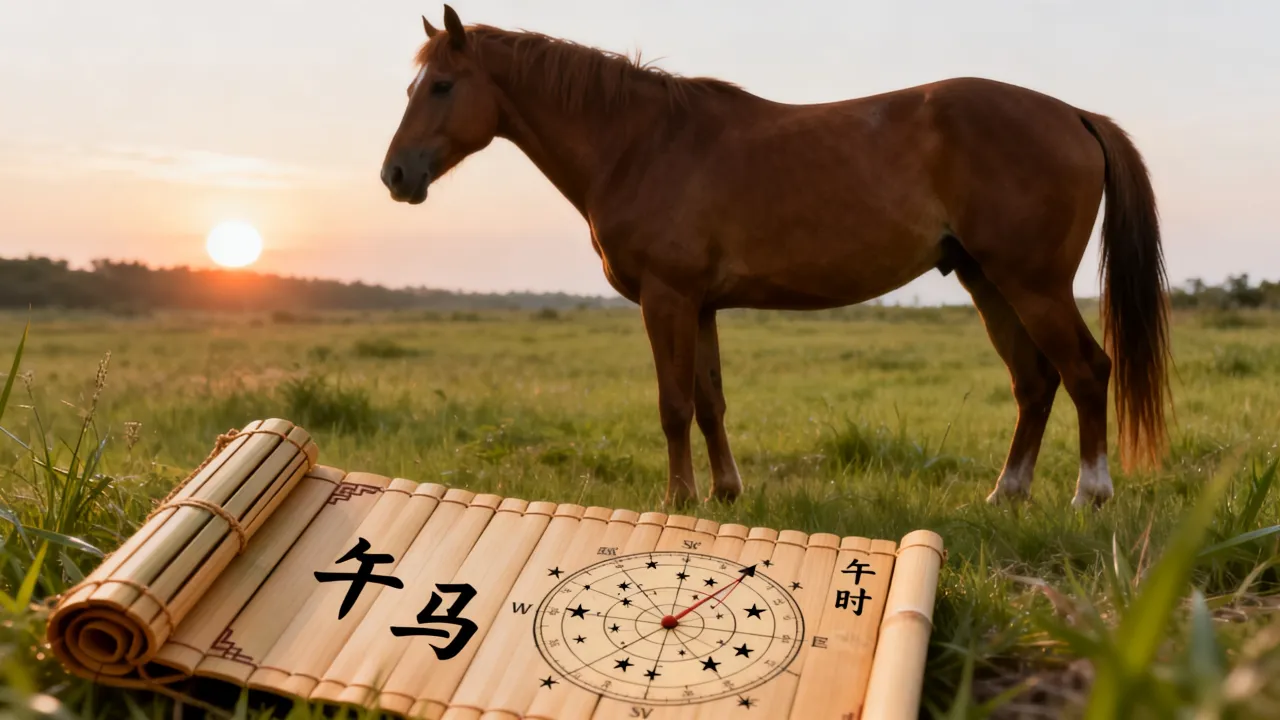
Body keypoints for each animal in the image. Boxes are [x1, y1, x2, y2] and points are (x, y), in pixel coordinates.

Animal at [380, 5, 1172, 510]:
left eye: (442, 86)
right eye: (412, 86)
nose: (394, 175)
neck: (640, 143)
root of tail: (1074, 114)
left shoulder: (667, 299)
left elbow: (673, 405)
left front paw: (679, 500)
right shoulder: (699, 305)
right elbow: (709, 401)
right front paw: (727, 493)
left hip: (1033, 284)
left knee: (1086, 370)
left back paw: (1090, 494)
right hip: (988, 282)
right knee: (1034, 383)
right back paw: (1005, 495)